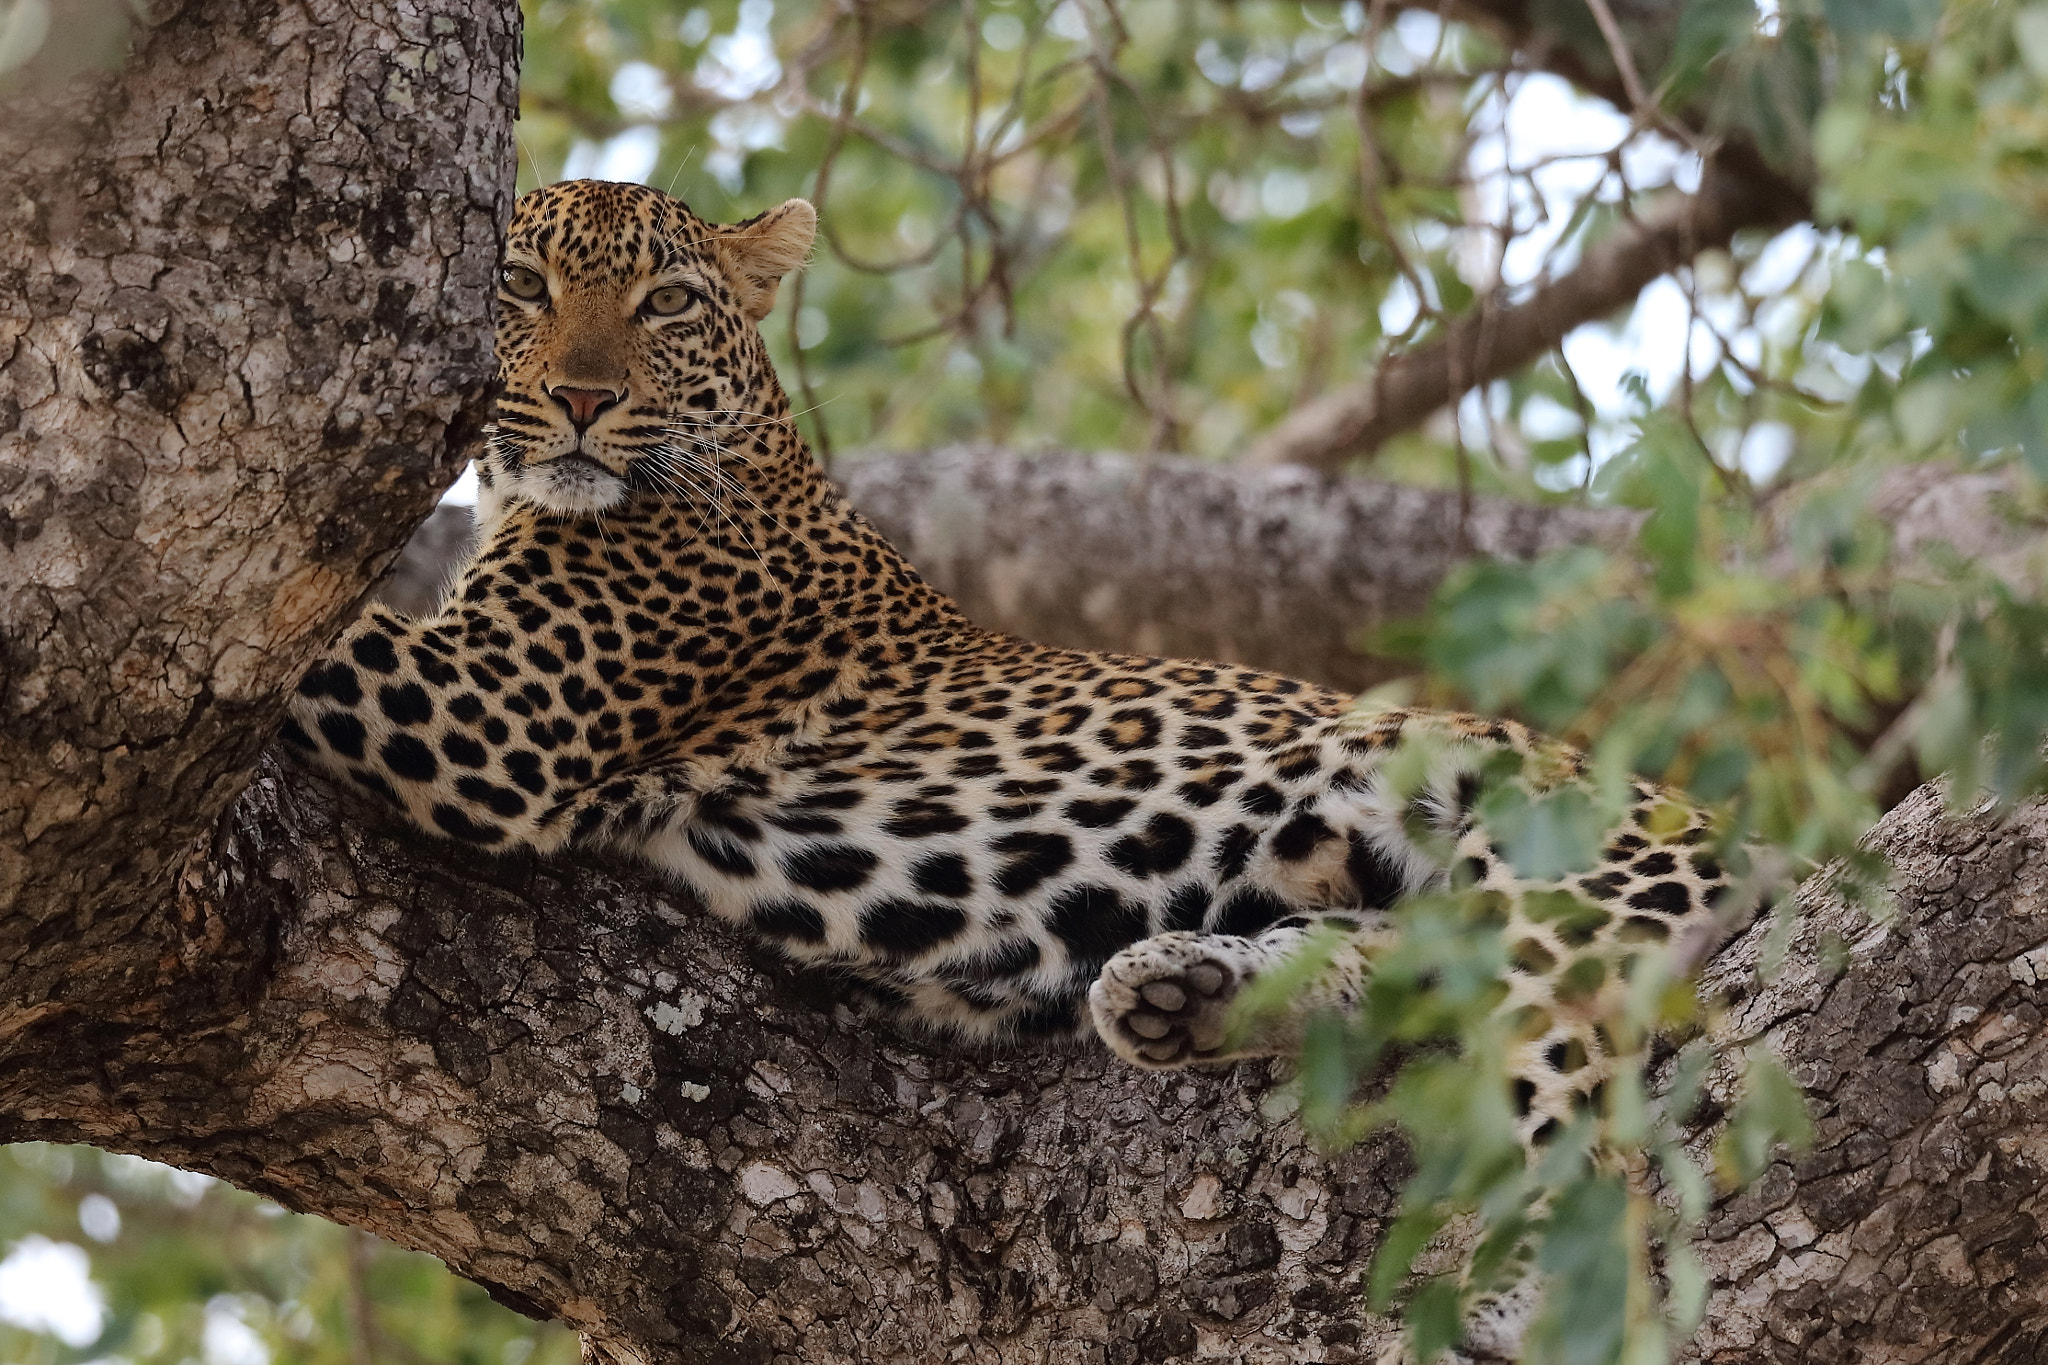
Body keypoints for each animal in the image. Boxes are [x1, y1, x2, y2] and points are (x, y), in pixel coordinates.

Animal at [283, 179, 1739, 1343]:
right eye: (523, 285)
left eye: (668, 302)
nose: (584, 400)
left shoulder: (492, 718)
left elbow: (302, 628)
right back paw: (1185, 991)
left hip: (1556, 864)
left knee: (1564, 1077)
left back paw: (1533, 1285)